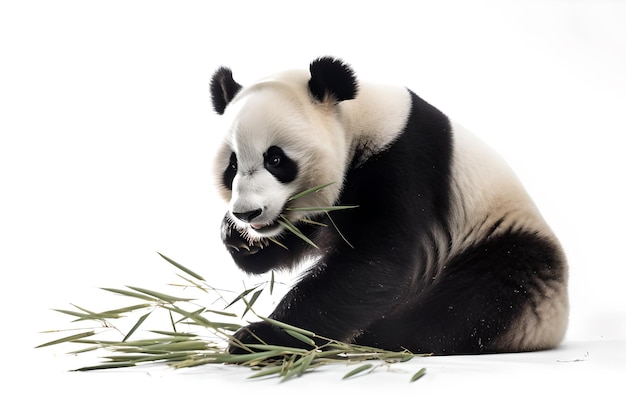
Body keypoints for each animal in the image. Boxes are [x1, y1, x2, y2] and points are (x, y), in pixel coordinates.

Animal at [208, 55, 564, 354]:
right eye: (232, 165)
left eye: (275, 159)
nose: (246, 213)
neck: (358, 120)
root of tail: (556, 328)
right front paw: (240, 240)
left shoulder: (403, 161)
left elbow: (372, 262)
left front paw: (261, 338)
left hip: (500, 242)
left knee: (476, 299)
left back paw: (384, 336)